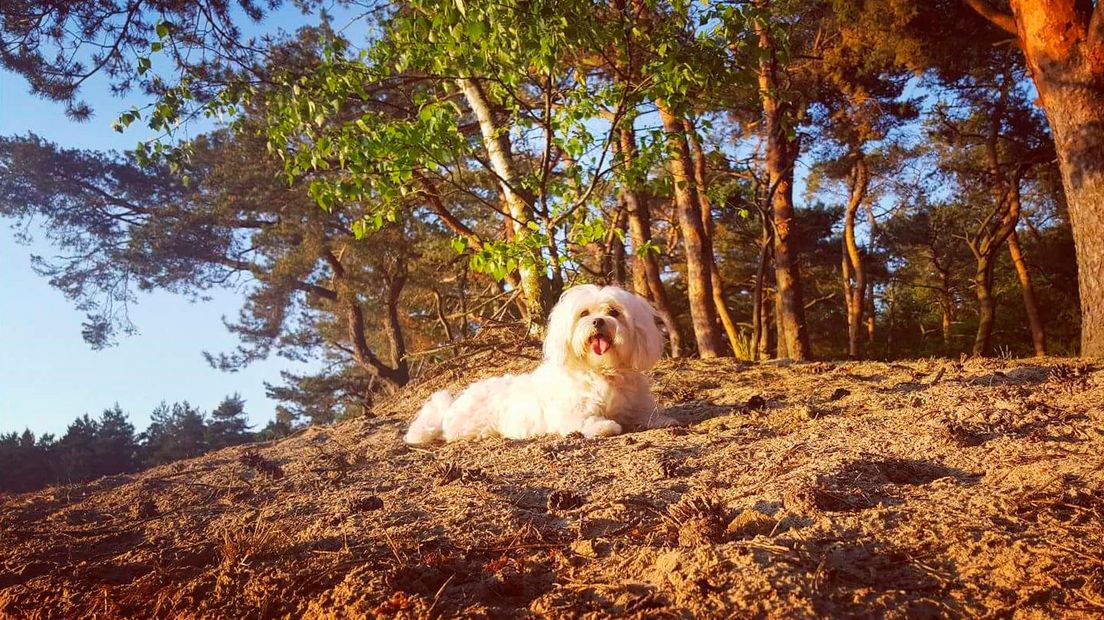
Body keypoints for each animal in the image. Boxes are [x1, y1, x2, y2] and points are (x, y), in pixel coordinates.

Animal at [406, 282, 675, 441]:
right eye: (584, 313)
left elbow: (646, 413)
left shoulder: (636, 403)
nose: (598, 321)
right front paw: (603, 426)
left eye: (613, 312)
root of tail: (452, 406)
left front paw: (661, 419)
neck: (600, 370)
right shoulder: (571, 414)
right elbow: (586, 419)